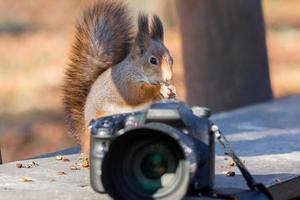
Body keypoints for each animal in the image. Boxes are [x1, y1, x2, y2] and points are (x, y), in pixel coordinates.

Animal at [62, 0, 176, 156]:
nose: (168, 77)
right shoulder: (123, 82)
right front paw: (159, 89)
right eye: (153, 60)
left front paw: (172, 90)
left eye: (171, 59)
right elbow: (134, 95)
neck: (137, 70)